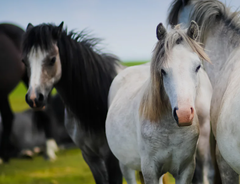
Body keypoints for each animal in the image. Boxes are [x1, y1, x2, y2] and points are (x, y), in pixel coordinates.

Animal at [106, 21, 211, 184]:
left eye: (198, 67)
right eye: (163, 70)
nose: (184, 114)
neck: (171, 131)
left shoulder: (186, 170)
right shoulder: (150, 171)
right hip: (125, 164)